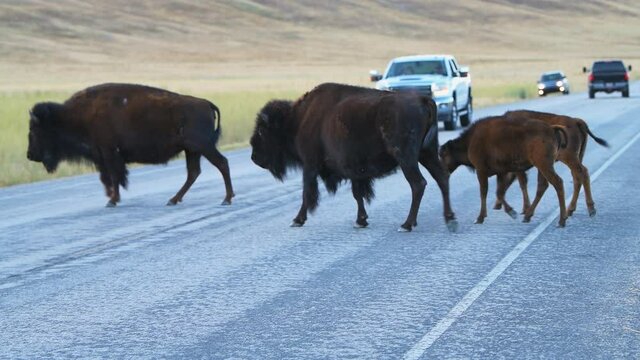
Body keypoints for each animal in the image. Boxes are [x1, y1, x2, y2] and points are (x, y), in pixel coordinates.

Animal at [26, 83, 235, 207]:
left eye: (35, 131)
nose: (30, 155)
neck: (74, 116)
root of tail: (206, 103)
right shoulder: (103, 156)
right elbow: (108, 177)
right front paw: (111, 197)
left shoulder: (108, 152)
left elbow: (113, 175)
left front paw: (112, 200)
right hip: (192, 150)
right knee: (194, 172)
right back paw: (173, 200)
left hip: (202, 147)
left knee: (221, 163)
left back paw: (226, 199)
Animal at [440, 115, 568, 226]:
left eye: (443, 154)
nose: (444, 172)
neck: (469, 141)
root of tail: (551, 129)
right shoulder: (501, 172)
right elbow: (499, 192)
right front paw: (511, 212)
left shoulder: (481, 171)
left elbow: (484, 192)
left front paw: (479, 218)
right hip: (541, 167)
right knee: (542, 186)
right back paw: (528, 216)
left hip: (544, 165)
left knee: (557, 183)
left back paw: (561, 221)